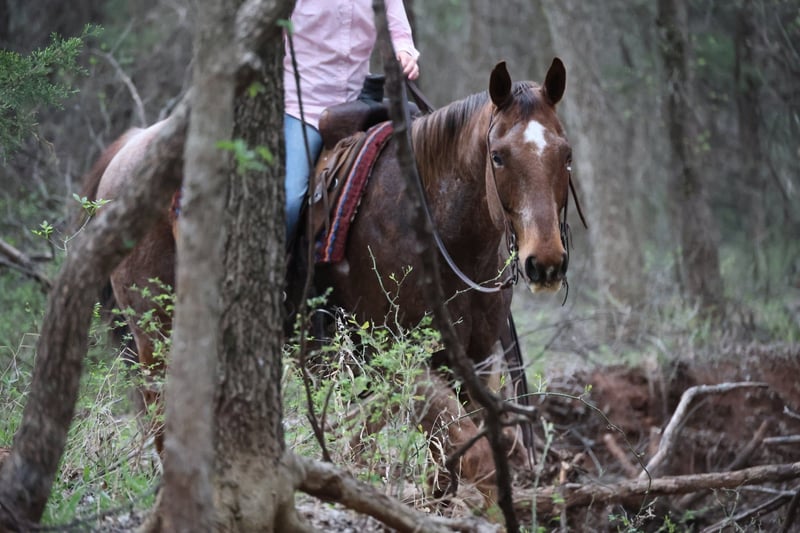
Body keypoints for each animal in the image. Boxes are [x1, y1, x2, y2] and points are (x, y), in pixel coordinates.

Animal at [81, 58, 576, 498]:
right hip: (154, 330)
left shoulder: (471, 362)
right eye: (498, 156)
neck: (434, 226)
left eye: (566, 154)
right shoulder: (394, 354)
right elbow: (470, 453)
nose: (545, 262)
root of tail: (132, 147)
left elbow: (451, 459)